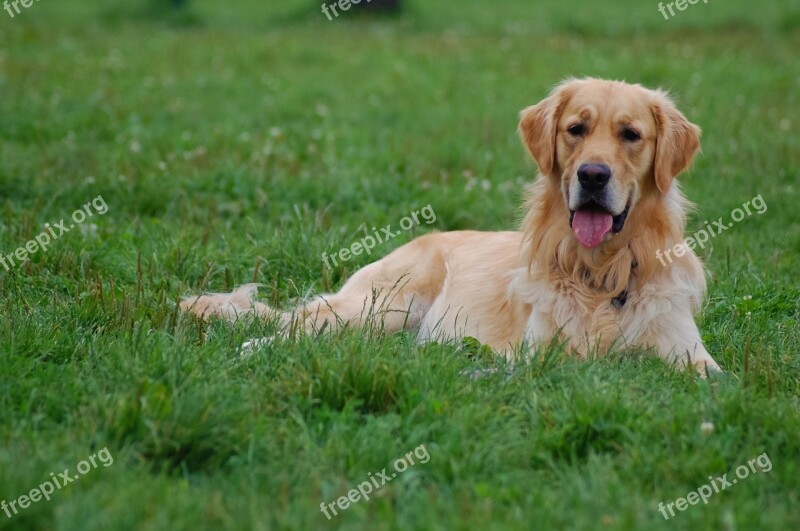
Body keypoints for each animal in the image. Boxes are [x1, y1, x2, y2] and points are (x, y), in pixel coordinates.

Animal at [184, 80, 720, 378]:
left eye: (631, 135)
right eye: (576, 129)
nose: (592, 175)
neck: (603, 276)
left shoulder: (690, 353)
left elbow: (706, 376)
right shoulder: (540, 354)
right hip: (380, 308)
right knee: (294, 329)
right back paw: (256, 351)